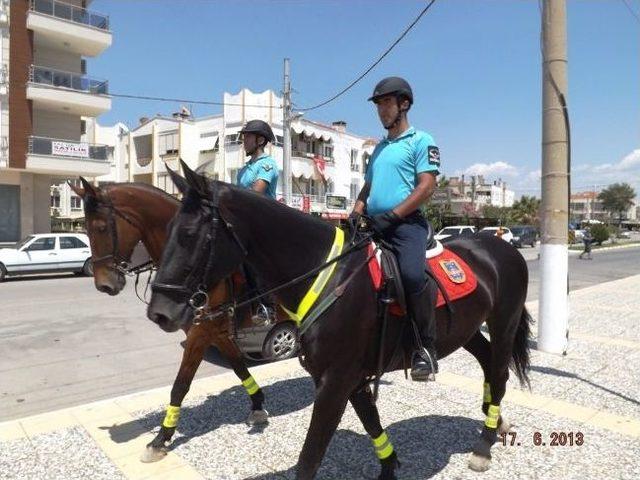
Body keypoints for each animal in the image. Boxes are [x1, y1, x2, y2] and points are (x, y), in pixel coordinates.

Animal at [70, 178, 276, 464]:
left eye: (100, 227)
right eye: (85, 229)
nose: (104, 285)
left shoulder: (201, 332)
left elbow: (180, 385)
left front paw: (161, 437)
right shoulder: (214, 331)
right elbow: (238, 367)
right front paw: (257, 404)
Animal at [148, 163, 532, 478]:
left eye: (189, 235)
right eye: (167, 230)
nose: (159, 312)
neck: (330, 274)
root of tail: (502, 246)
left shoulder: (335, 381)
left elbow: (309, 459)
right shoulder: (350, 378)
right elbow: (372, 425)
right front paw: (389, 467)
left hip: (504, 322)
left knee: (499, 374)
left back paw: (484, 445)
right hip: (468, 330)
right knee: (487, 363)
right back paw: (496, 421)